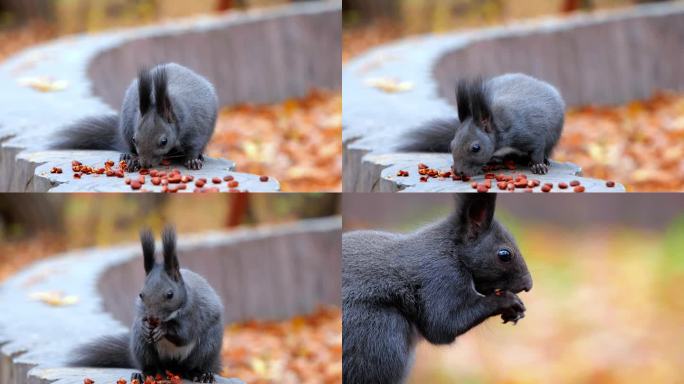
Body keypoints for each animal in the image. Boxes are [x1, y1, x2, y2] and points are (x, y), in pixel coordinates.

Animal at [52, 62, 218, 170]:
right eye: (134, 139)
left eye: (164, 141)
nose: (145, 164)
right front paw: (133, 161)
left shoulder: (196, 129)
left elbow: (193, 147)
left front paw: (192, 160)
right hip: (125, 127)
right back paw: (128, 156)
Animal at [70, 226, 223, 382]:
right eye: (141, 294)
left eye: (170, 295)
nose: (152, 318)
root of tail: (173, 368)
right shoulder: (141, 314)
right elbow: (141, 321)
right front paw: (144, 326)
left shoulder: (193, 314)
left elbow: (184, 334)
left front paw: (164, 329)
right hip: (142, 347)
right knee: (151, 367)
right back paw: (143, 374)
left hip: (207, 347)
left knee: (195, 365)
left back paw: (201, 374)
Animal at [344, 195, 532, 384]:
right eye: (504, 254)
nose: (528, 285)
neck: (452, 250)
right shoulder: (441, 276)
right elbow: (443, 323)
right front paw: (508, 301)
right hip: (377, 335)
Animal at [398, 73, 564, 176]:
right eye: (451, 145)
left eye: (476, 148)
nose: (458, 172)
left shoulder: (531, 134)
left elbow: (537, 150)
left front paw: (538, 165)